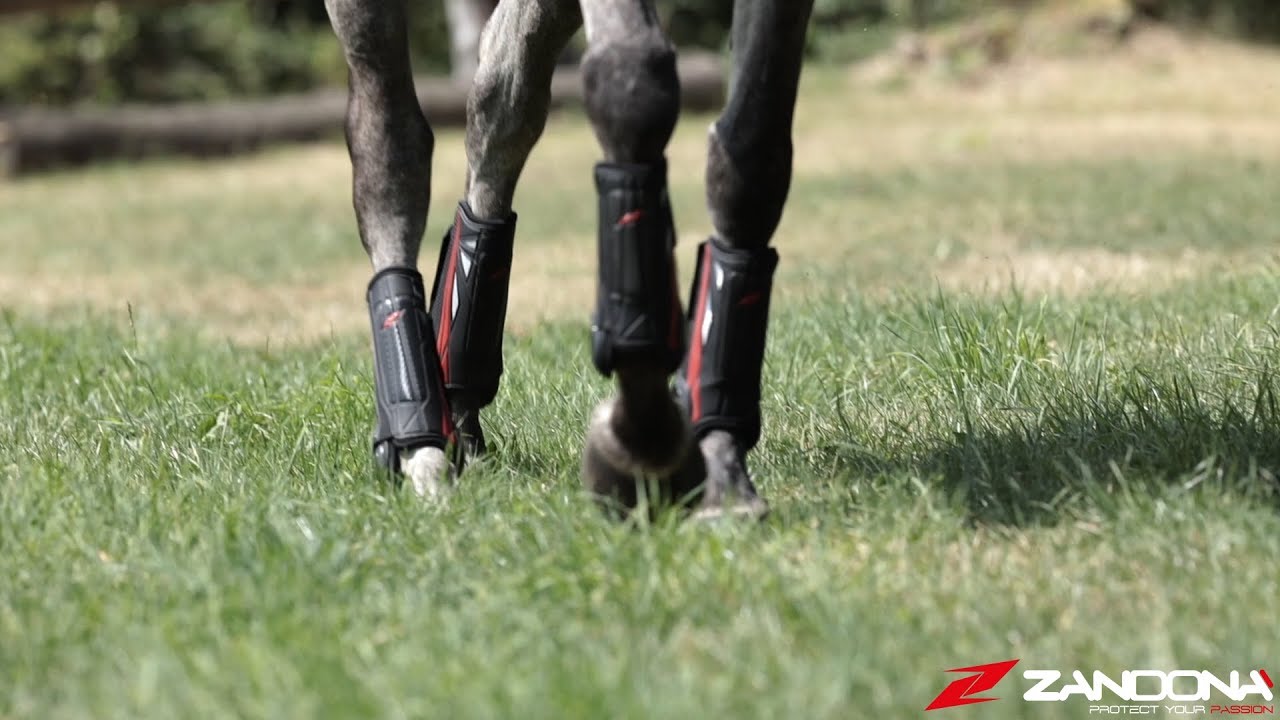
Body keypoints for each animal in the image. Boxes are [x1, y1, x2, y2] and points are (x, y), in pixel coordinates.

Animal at [324, 0, 813, 519]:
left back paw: (456, 407)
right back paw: (420, 444)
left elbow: (754, 152)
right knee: (393, 139)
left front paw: (723, 468)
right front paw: (644, 445)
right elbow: (633, 81)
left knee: (503, 96)